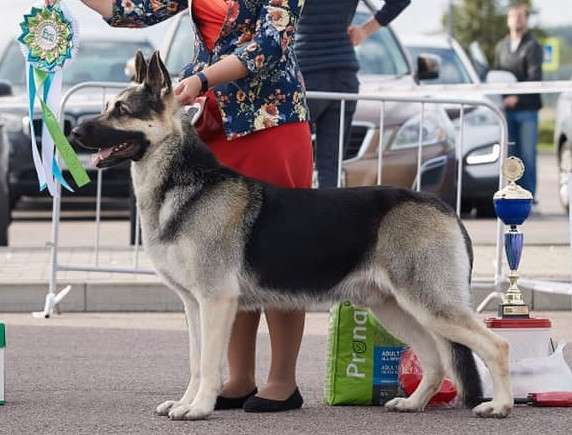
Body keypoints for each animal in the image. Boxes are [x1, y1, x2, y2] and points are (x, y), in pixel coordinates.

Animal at [69, 52, 512, 422]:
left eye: (121, 110)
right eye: (108, 107)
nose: (73, 132)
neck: (186, 184)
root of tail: (444, 206)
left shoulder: (215, 303)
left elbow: (209, 364)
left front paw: (199, 408)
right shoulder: (193, 307)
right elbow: (195, 363)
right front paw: (186, 402)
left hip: (430, 306)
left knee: (495, 346)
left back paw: (500, 406)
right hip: (396, 309)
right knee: (436, 360)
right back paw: (414, 403)